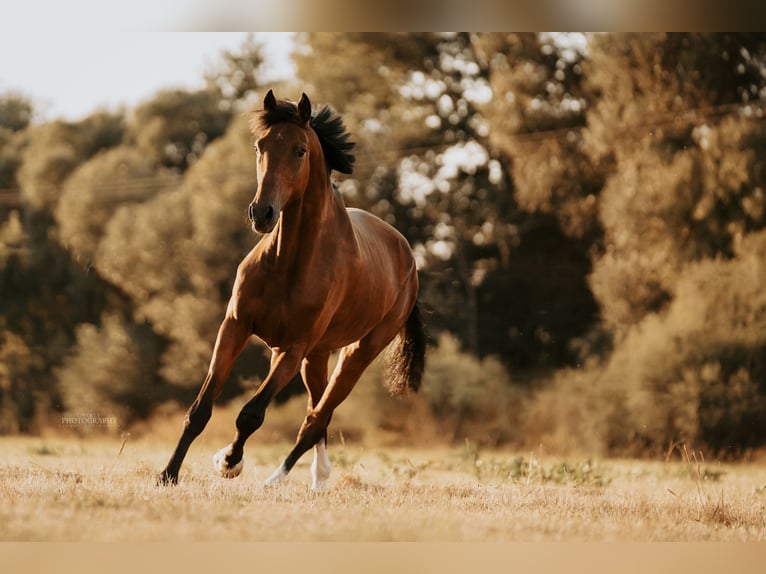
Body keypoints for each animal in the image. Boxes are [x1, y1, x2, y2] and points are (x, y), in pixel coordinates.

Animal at [158, 90, 425, 490]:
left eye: (300, 150)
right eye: (260, 146)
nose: (261, 213)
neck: (288, 260)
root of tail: (407, 255)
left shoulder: (293, 349)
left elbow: (251, 413)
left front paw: (229, 463)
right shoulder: (236, 327)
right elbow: (200, 409)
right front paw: (169, 474)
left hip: (356, 353)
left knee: (317, 418)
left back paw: (278, 479)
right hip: (314, 357)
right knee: (318, 413)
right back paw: (318, 477)